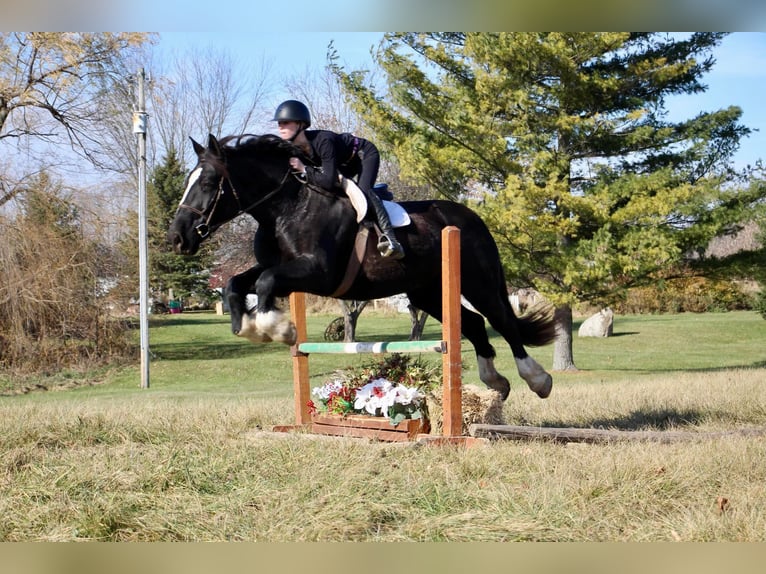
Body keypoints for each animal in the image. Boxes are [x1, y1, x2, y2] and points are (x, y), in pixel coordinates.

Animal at [168, 136, 556, 400]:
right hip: (427, 291)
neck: (285, 207)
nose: (177, 238)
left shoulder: (318, 273)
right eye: (188, 181)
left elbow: (264, 282)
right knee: (474, 324)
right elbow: (238, 282)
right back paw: (495, 384)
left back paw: (537, 379)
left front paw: (274, 328)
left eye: (208, 183)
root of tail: (472, 218)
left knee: (502, 321)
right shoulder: (283, 268)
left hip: (478, 281)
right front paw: (246, 326)